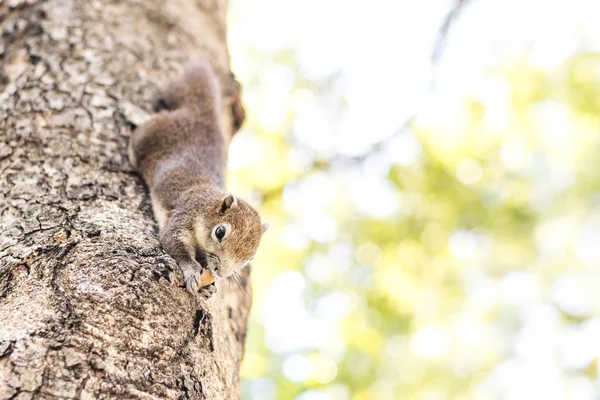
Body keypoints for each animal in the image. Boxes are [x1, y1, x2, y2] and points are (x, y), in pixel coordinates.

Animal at [130, 61, 268, 300]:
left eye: (251, 257)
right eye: (220, 232)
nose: (221, 273)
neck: (205, 205)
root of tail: (202, 114)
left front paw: (209, 286)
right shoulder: (182, 217)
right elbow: (174, 244)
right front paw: (193, 272)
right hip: (149, 137)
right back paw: (133, 113)